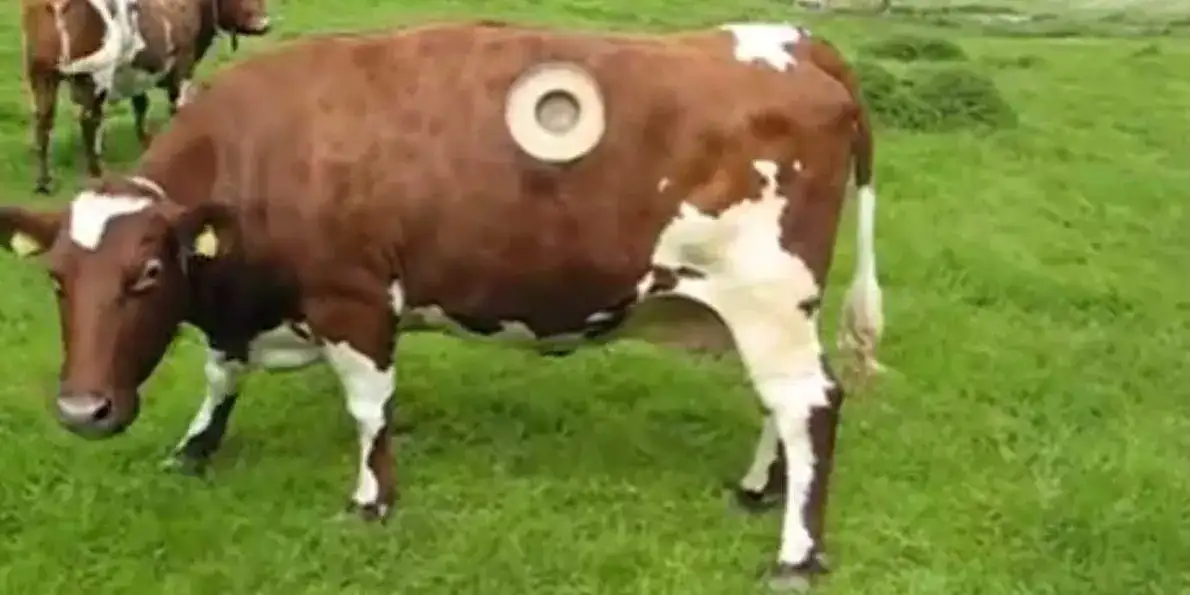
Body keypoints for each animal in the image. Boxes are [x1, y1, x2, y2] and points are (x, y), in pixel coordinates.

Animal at [0, 20, 885, 591]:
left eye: (148, 272)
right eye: (58, 279)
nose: (82, 409)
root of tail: (794, 44)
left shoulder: (354, 299)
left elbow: (368, 407)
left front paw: (371, 499)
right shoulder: (238, 306)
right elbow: (222, 375)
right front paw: (194, 448)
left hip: (766, 293)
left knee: (812, 404)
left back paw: (796, 552)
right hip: (768, 310)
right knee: (784, 404)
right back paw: (758, 486)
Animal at [20, 0, 271, 194]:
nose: (263, 25)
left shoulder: (136, 73)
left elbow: (141, 104)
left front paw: (146, 139)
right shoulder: (183, 63)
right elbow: (178, 106)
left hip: (41, 76)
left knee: (43, 122)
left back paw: (44, 182)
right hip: (94, 74)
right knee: (88, 121)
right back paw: (97, 172)